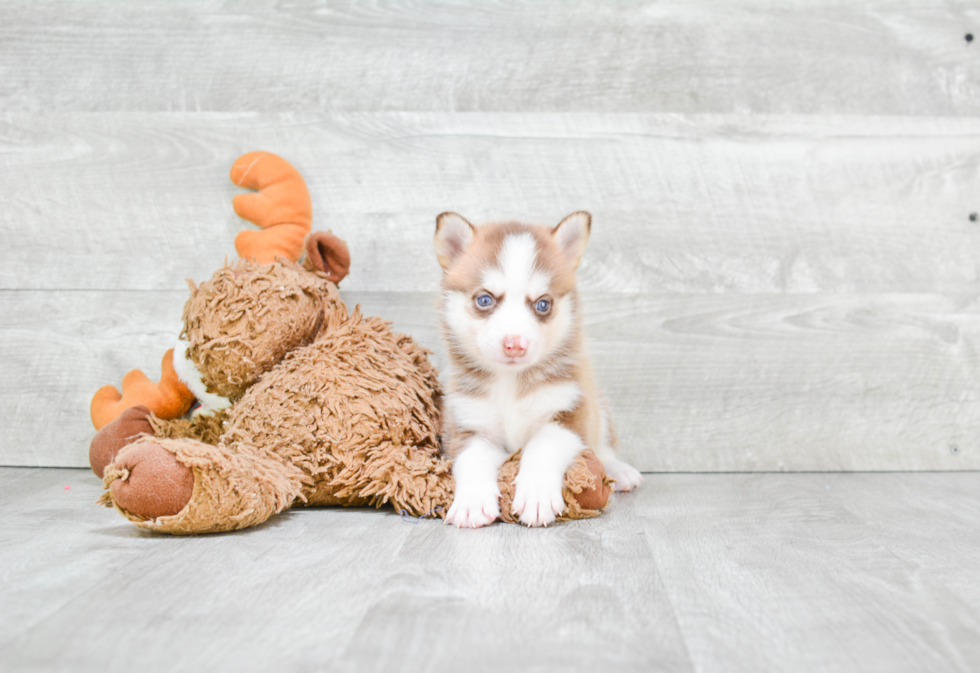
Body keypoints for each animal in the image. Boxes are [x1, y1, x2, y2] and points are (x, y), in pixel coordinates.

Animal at [436, 213, 644, 528]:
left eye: (543, 304)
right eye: (485, 299)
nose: (515, 345)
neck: (509, 384)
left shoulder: (568, 416)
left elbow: (542, 448)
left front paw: (536, 496)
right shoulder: (469, 429)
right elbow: (471, 462)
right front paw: (472, 503)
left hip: (598, 405)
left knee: (604, 445)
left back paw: (618, 470)